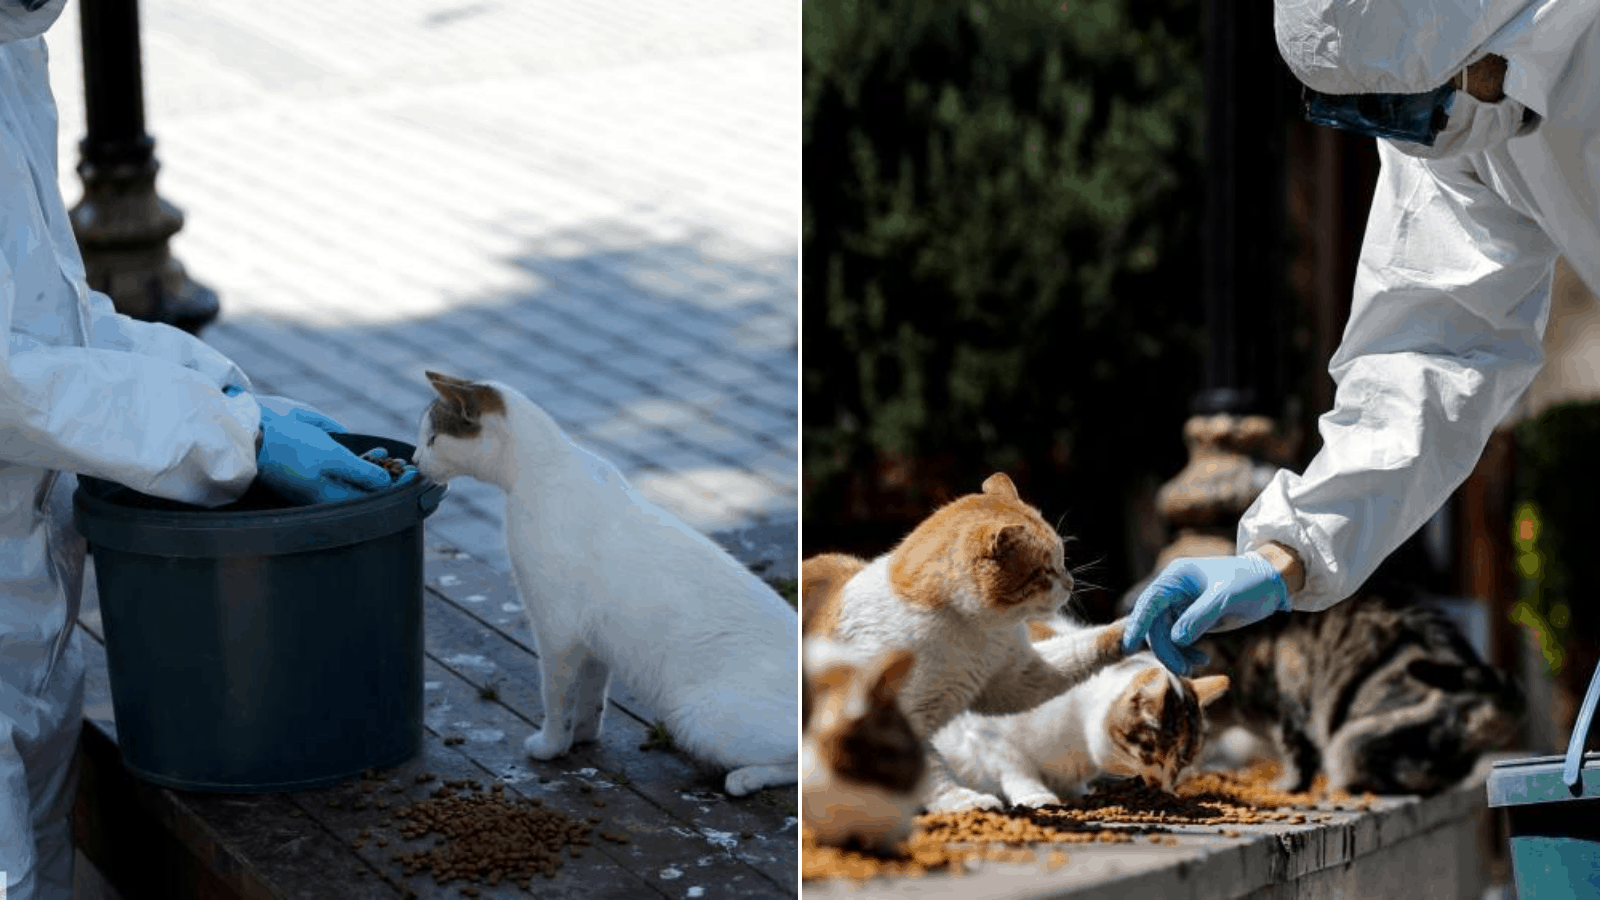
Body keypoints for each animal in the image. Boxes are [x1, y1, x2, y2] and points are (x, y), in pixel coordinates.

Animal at [412, 371, 800, 791]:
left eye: (432, 439)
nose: (414, 461)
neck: (543, 468)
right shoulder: (591, 639)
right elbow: (590, 697)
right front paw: (581, 738)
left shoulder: (557, 631)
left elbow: (556, 698)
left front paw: (550, 747)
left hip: (694, 716)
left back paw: (745, 779)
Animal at [800, 474, 1126, 810]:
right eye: (1045, 570)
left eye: (1062, 561)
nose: (1071, 583)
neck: (972, 633)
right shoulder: (903, 719)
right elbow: (934, 774)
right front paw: (963, 802)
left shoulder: (1017, 678)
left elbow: (1078, 649)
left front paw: (1129, 628)